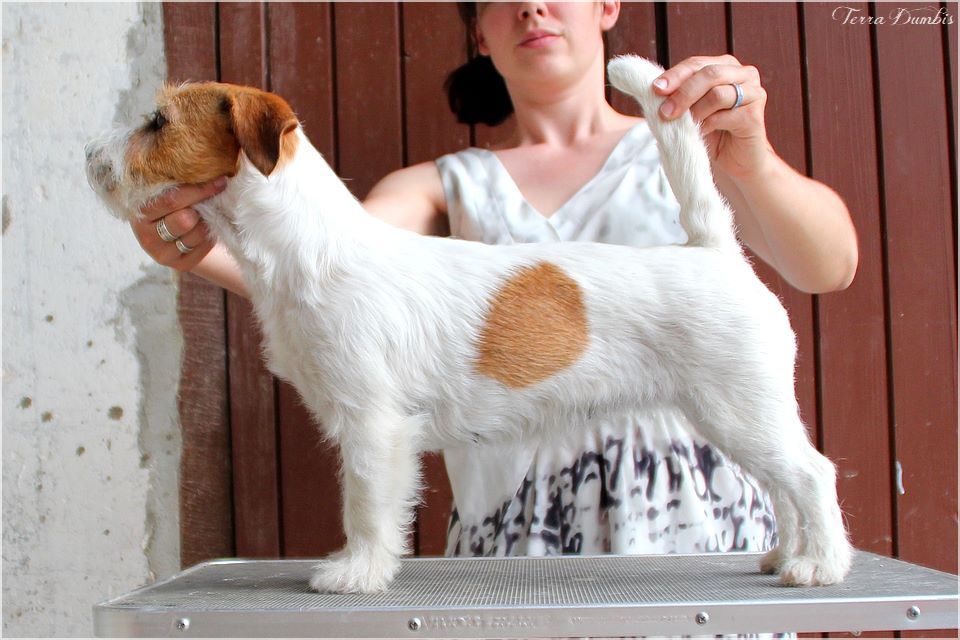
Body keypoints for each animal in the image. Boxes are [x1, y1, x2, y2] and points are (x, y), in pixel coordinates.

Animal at [86, 56, 853, 593]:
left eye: (157, 123)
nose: (90, 160)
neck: (309, 248)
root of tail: (712, 249)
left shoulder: (373, 425)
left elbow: (366, 504)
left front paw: (356, 573)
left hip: (739, 405)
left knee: (810, 474)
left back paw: (821, 565)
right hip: (737, 413)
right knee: (786, 484)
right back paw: (786, 555)